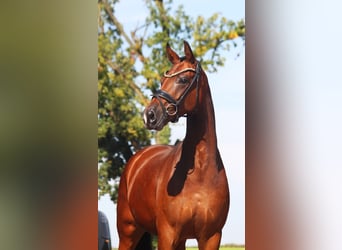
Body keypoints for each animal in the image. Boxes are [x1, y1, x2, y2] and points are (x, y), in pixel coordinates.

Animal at [117, 41, 230, 250]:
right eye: (162, 79)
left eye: (183, 79)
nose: (149, 115)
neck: (201, 172)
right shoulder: (167, 235)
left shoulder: (211, 237)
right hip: (127, 231)